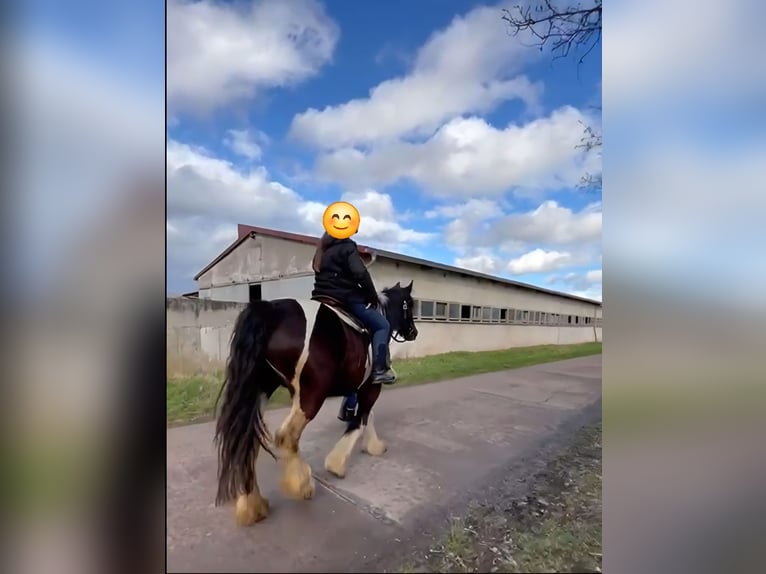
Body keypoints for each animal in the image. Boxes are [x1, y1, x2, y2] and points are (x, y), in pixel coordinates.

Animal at [213, 280, 419, 526]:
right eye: (409, 304)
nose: (413, 332)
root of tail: (271, 311)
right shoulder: (371, 387)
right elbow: (360, 420)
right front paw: (337, 464)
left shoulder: (359, 389)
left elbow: (366, 417)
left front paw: (373, 445)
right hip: (311, 394)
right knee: (286, 436)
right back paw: (301, 485)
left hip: (261, 389)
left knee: (247, 441)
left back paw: (252, 506)